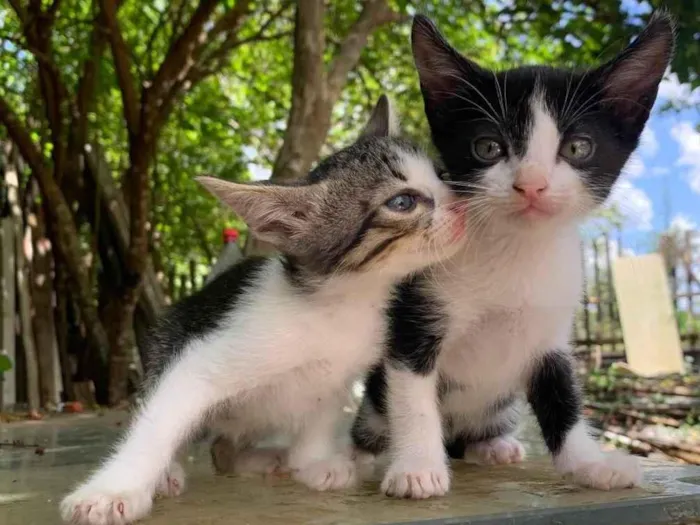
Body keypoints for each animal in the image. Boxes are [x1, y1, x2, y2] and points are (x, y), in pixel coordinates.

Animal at [58, 95, 464, 524]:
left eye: (441, 174)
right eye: (402, 202)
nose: (462, 204)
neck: (339, 304)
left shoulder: (338, 375)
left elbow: (320, 413)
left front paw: (313, 462)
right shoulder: (200, 362)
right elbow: (159, 421)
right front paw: (111, 490)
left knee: (223, 449)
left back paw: (268, 458)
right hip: (166, 346)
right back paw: (171, 472)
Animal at [352, 11, 676, 496]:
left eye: (577, 148)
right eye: (488, 147)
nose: (532, 184)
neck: (518, 251)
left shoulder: (552, 335)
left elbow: (563, 399)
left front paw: (590, 463)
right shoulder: (415, 317)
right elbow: (412, 395)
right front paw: (416, 469)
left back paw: (492, 446)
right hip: (375, 396)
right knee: (373, 421)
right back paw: (361, 457)